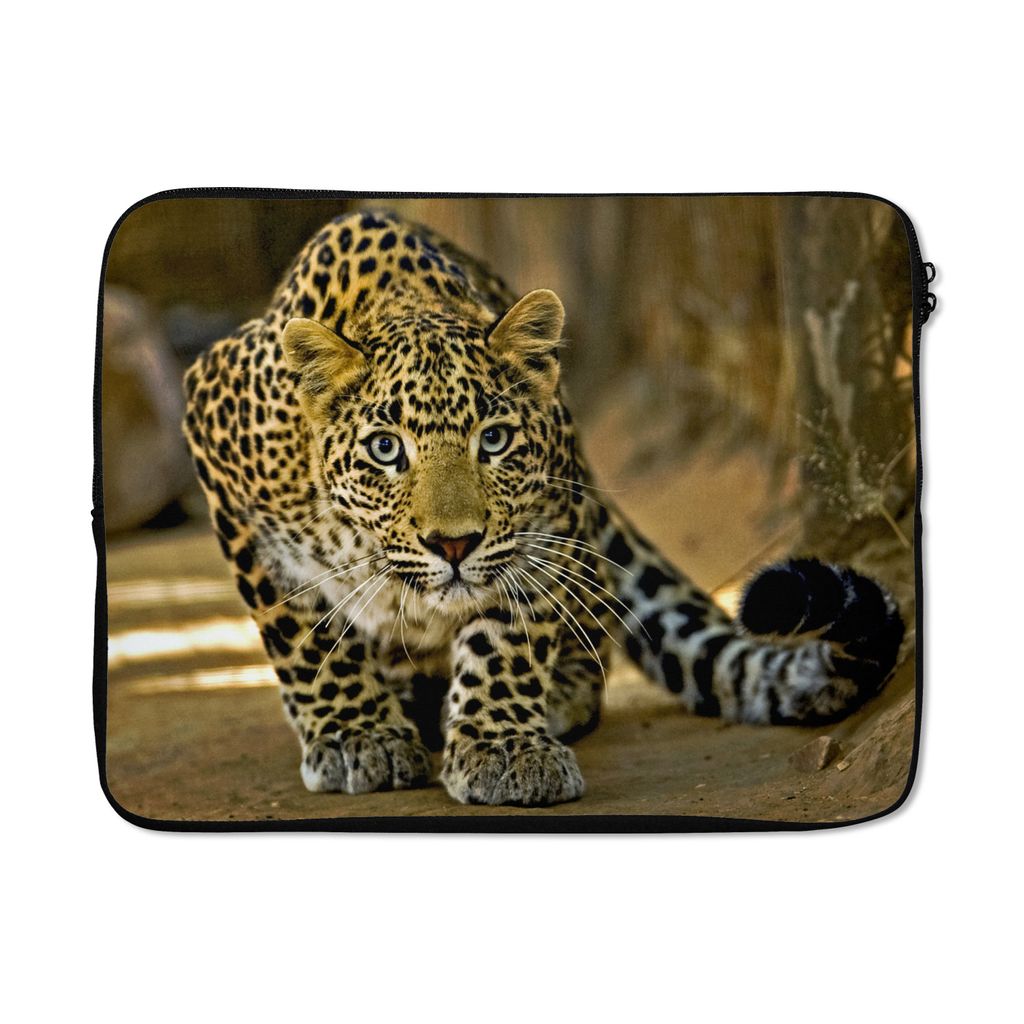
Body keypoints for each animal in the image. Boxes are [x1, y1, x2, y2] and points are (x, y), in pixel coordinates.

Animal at [182, 208, 905, 807]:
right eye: (386, 449)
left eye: (494, 440)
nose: (454, 545)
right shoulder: (219, 448)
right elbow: (302, 631)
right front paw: (354, 735)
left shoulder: (544, 522)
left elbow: (507, 636)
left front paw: (502, 746)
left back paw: (550, 695)